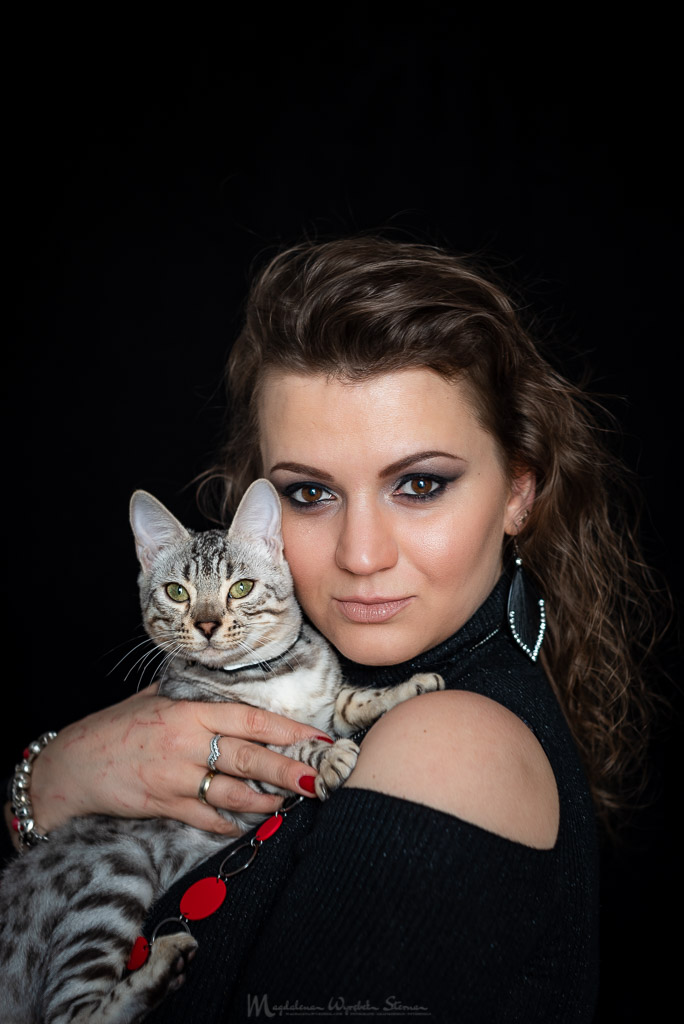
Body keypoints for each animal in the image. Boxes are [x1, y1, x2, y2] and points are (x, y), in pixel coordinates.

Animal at [0, 478, 443, 1024]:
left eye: (241, 588)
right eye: (177, 592)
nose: (208, 624)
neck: (265, 675)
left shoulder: (327, 700)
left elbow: (350, 700)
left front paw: (405, 688)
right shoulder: (232, 761)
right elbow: (282, 742)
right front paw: (324, 756)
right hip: (113, 872)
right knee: (70, 1013)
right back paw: (163, 962)